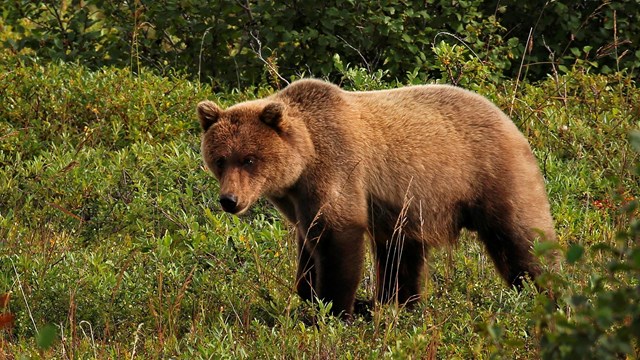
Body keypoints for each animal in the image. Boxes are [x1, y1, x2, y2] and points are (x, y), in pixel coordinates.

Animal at [198, 78, 556, 318]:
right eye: (220, 159)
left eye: (249, 159)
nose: (229, 200)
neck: (304, 161)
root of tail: (508, 118)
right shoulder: (298, 200)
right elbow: (308, 247)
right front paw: (319, 293)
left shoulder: (338, 169)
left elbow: (338, 238)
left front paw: (339, 308)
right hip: (409, 208)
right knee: (402, 256)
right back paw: (398, 304)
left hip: (489, 174)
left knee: (520, 238)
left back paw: (544, 293)